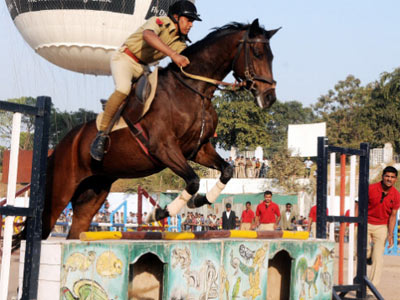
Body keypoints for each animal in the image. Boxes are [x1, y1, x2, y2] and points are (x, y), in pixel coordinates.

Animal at [33, 18, 278, 239]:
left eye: (272, 57)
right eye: (257, 53)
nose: (269, 97)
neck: (194, 90)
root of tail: (62, 145)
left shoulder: (198, 149)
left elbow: (226, 170)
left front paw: (201, 200)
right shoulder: (163, 148)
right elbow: (193, 181)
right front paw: (158, 213)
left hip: (93, 192)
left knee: (76, 230)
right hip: (60, 193)